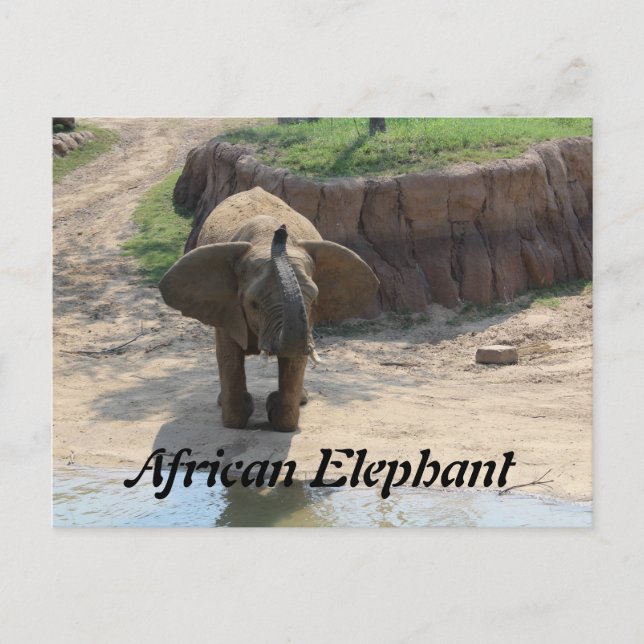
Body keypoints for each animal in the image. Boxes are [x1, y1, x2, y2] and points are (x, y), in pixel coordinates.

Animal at [159, 187, 380, 432]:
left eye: (314, 301)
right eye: (253, 304)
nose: (281, 231)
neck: (265, 240)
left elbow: (295, 362)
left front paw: (276, 409)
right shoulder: (226, 307)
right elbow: (229, 356)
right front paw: (242, 409)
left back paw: (302, 399)